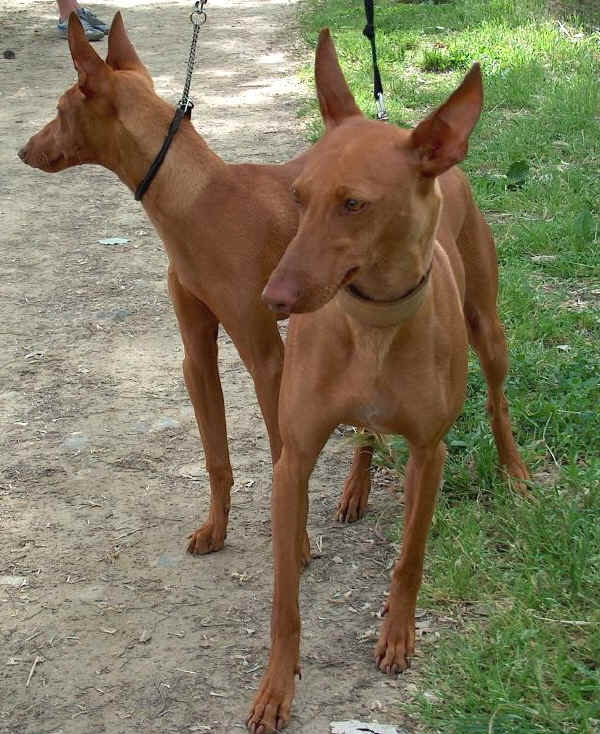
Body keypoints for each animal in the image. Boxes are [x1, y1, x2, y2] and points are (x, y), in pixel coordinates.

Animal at [17, 12, 366, 556]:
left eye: (58, 109)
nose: (22, 150)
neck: (199, 201)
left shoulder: (266, 359)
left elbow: (280, 455)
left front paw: (297, 542)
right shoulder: (196, 357)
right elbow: (215, 457)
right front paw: (215, 529)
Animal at [246, 30, 528, 734]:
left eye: (354, 204)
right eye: (298, 196)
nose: (272, 299)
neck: (373, 324)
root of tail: (439, 151)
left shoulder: (430, 453)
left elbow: (410, 559)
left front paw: (398, 636)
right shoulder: (292, 458)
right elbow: (285, 600)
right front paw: (275, 688)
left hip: (491, 331)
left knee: (499, 403)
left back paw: (515, 471)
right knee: (364, 433)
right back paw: (355, 485)